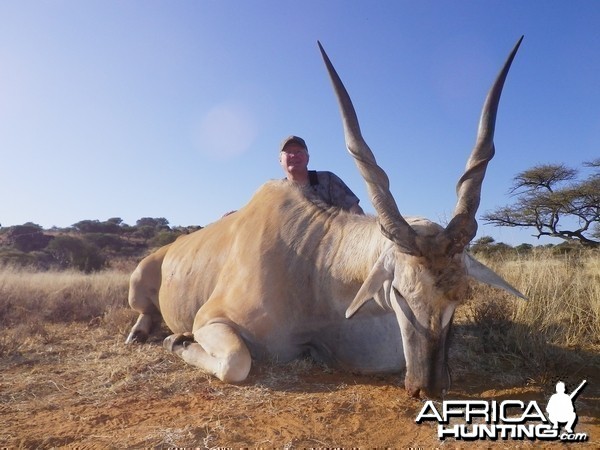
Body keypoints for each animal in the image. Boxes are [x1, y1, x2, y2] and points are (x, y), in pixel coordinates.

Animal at [126, 37, 524, 398]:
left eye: (461, 294)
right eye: (398, 291)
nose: (429, 388)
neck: (314, 266)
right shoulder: (210, 320)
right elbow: (236, 362)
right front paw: (176, 341)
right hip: (137, 282)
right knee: (147, 314)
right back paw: (141, 333)